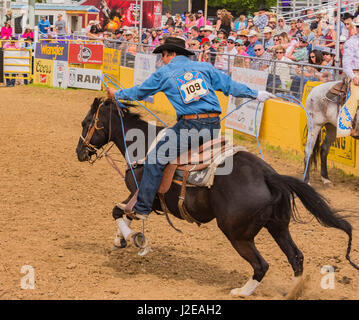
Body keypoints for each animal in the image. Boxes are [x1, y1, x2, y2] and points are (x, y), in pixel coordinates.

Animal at [76, 97, 359, 298]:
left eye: (86, 123)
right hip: (278, 226)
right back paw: (292, 291)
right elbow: (121, 212)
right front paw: (121, 239)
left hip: (237, 234)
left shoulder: (141, 194)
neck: (142, 146)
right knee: (296, 257)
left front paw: (134, 239)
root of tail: (269, 175)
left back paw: (241, 291)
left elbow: (119, 211)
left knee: (261, 265)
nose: (79, 152)